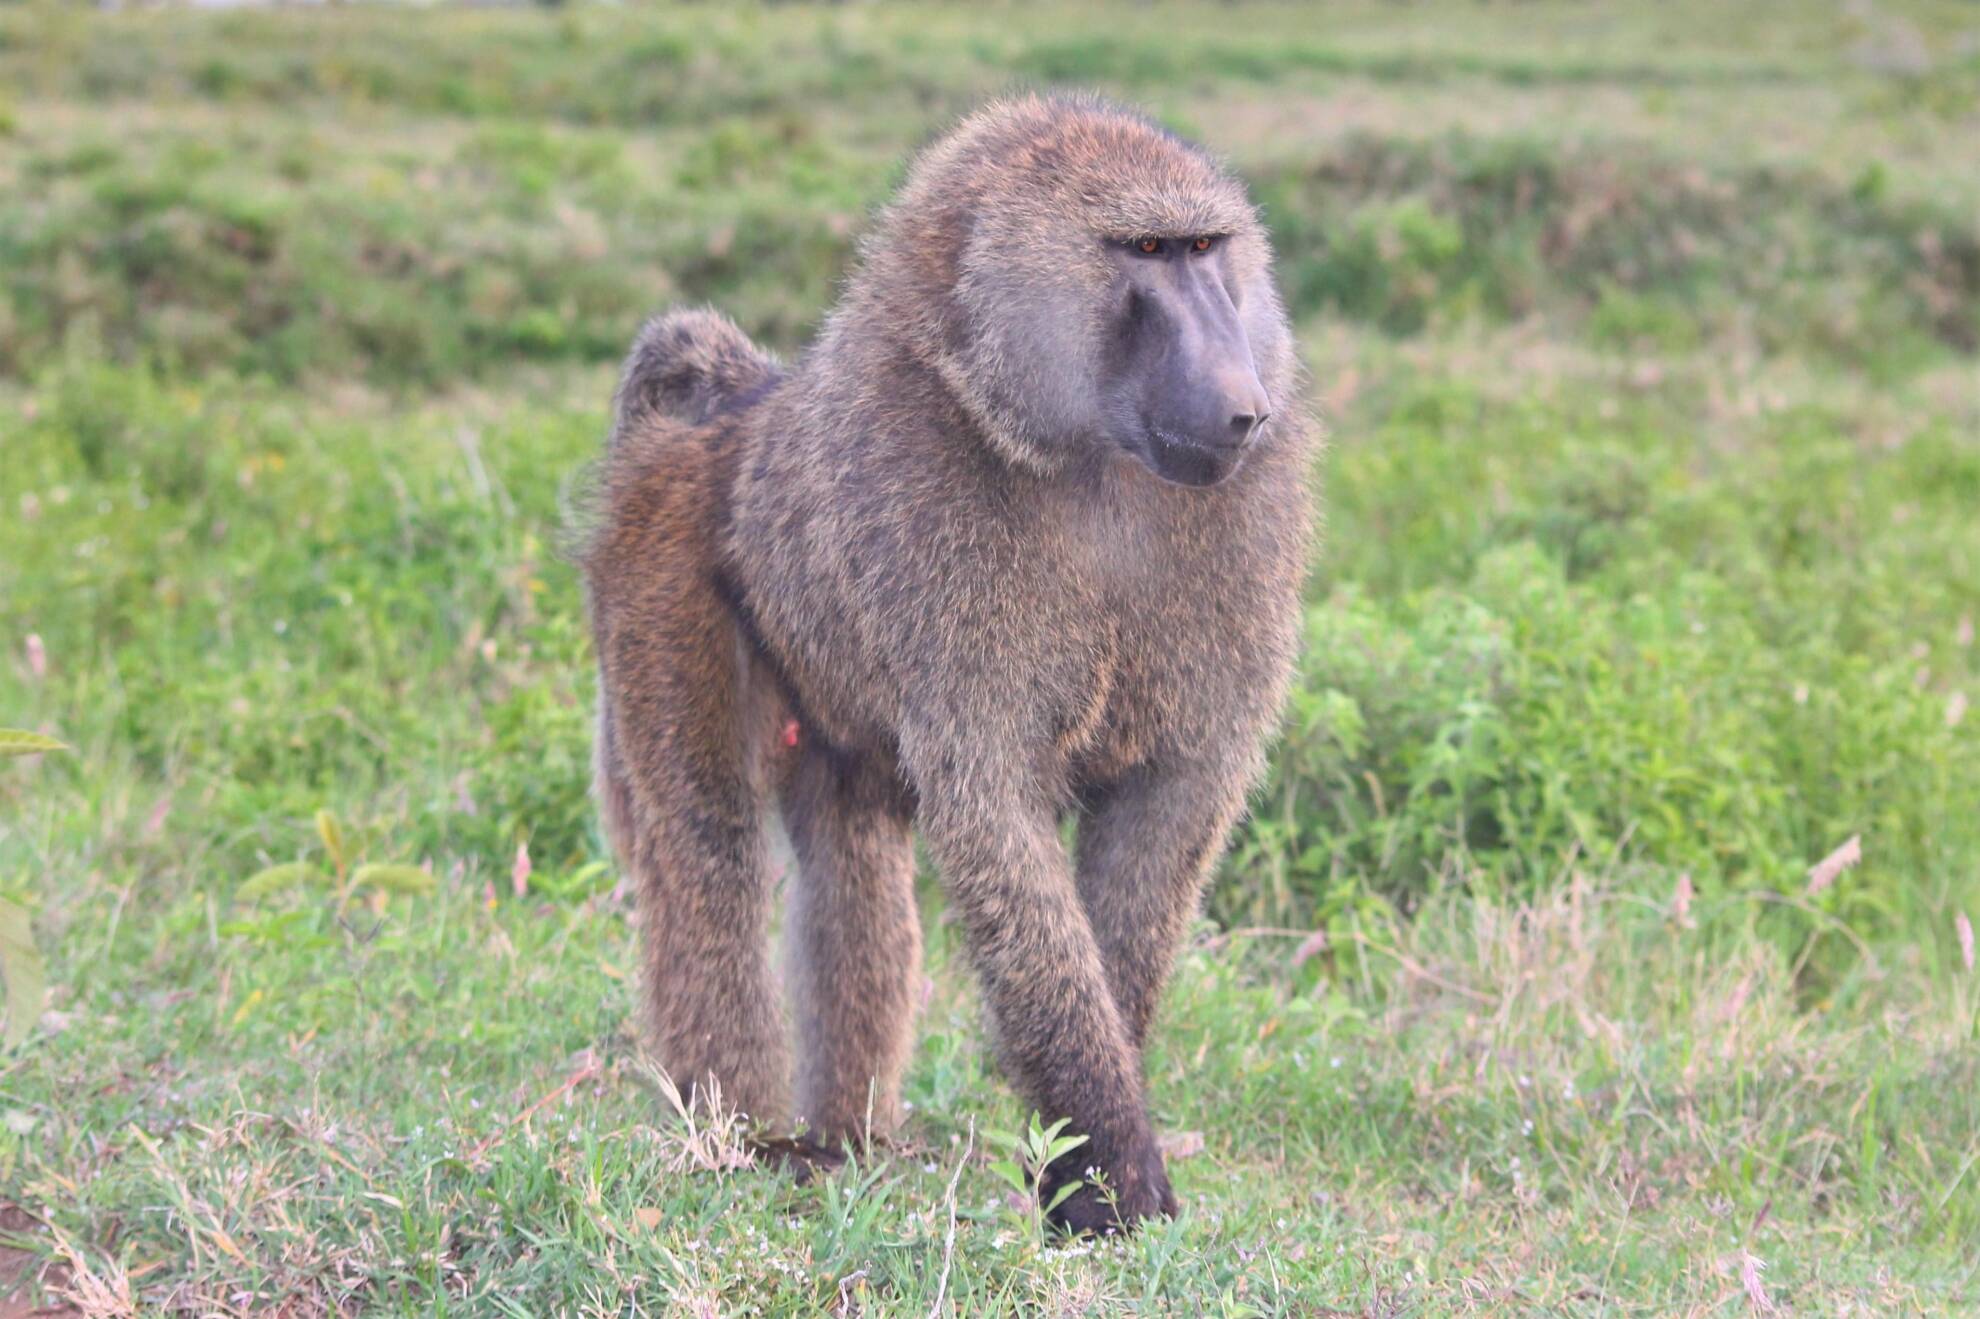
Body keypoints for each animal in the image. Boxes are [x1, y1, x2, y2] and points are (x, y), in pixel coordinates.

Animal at [579, 93, 1315, 1234]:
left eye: (1205, 249)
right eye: (1144, 252)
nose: (1242, 406)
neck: (1083, 455)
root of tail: (720, 418)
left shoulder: (1248, 520)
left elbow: (1174, 799)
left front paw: (1082, 1153)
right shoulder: (934, 520)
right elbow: (994, 810)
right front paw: (1108, 1171)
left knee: (851, 857)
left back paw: (845, 1143)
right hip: (660, 592)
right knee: (708, 853)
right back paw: (739, 1144)